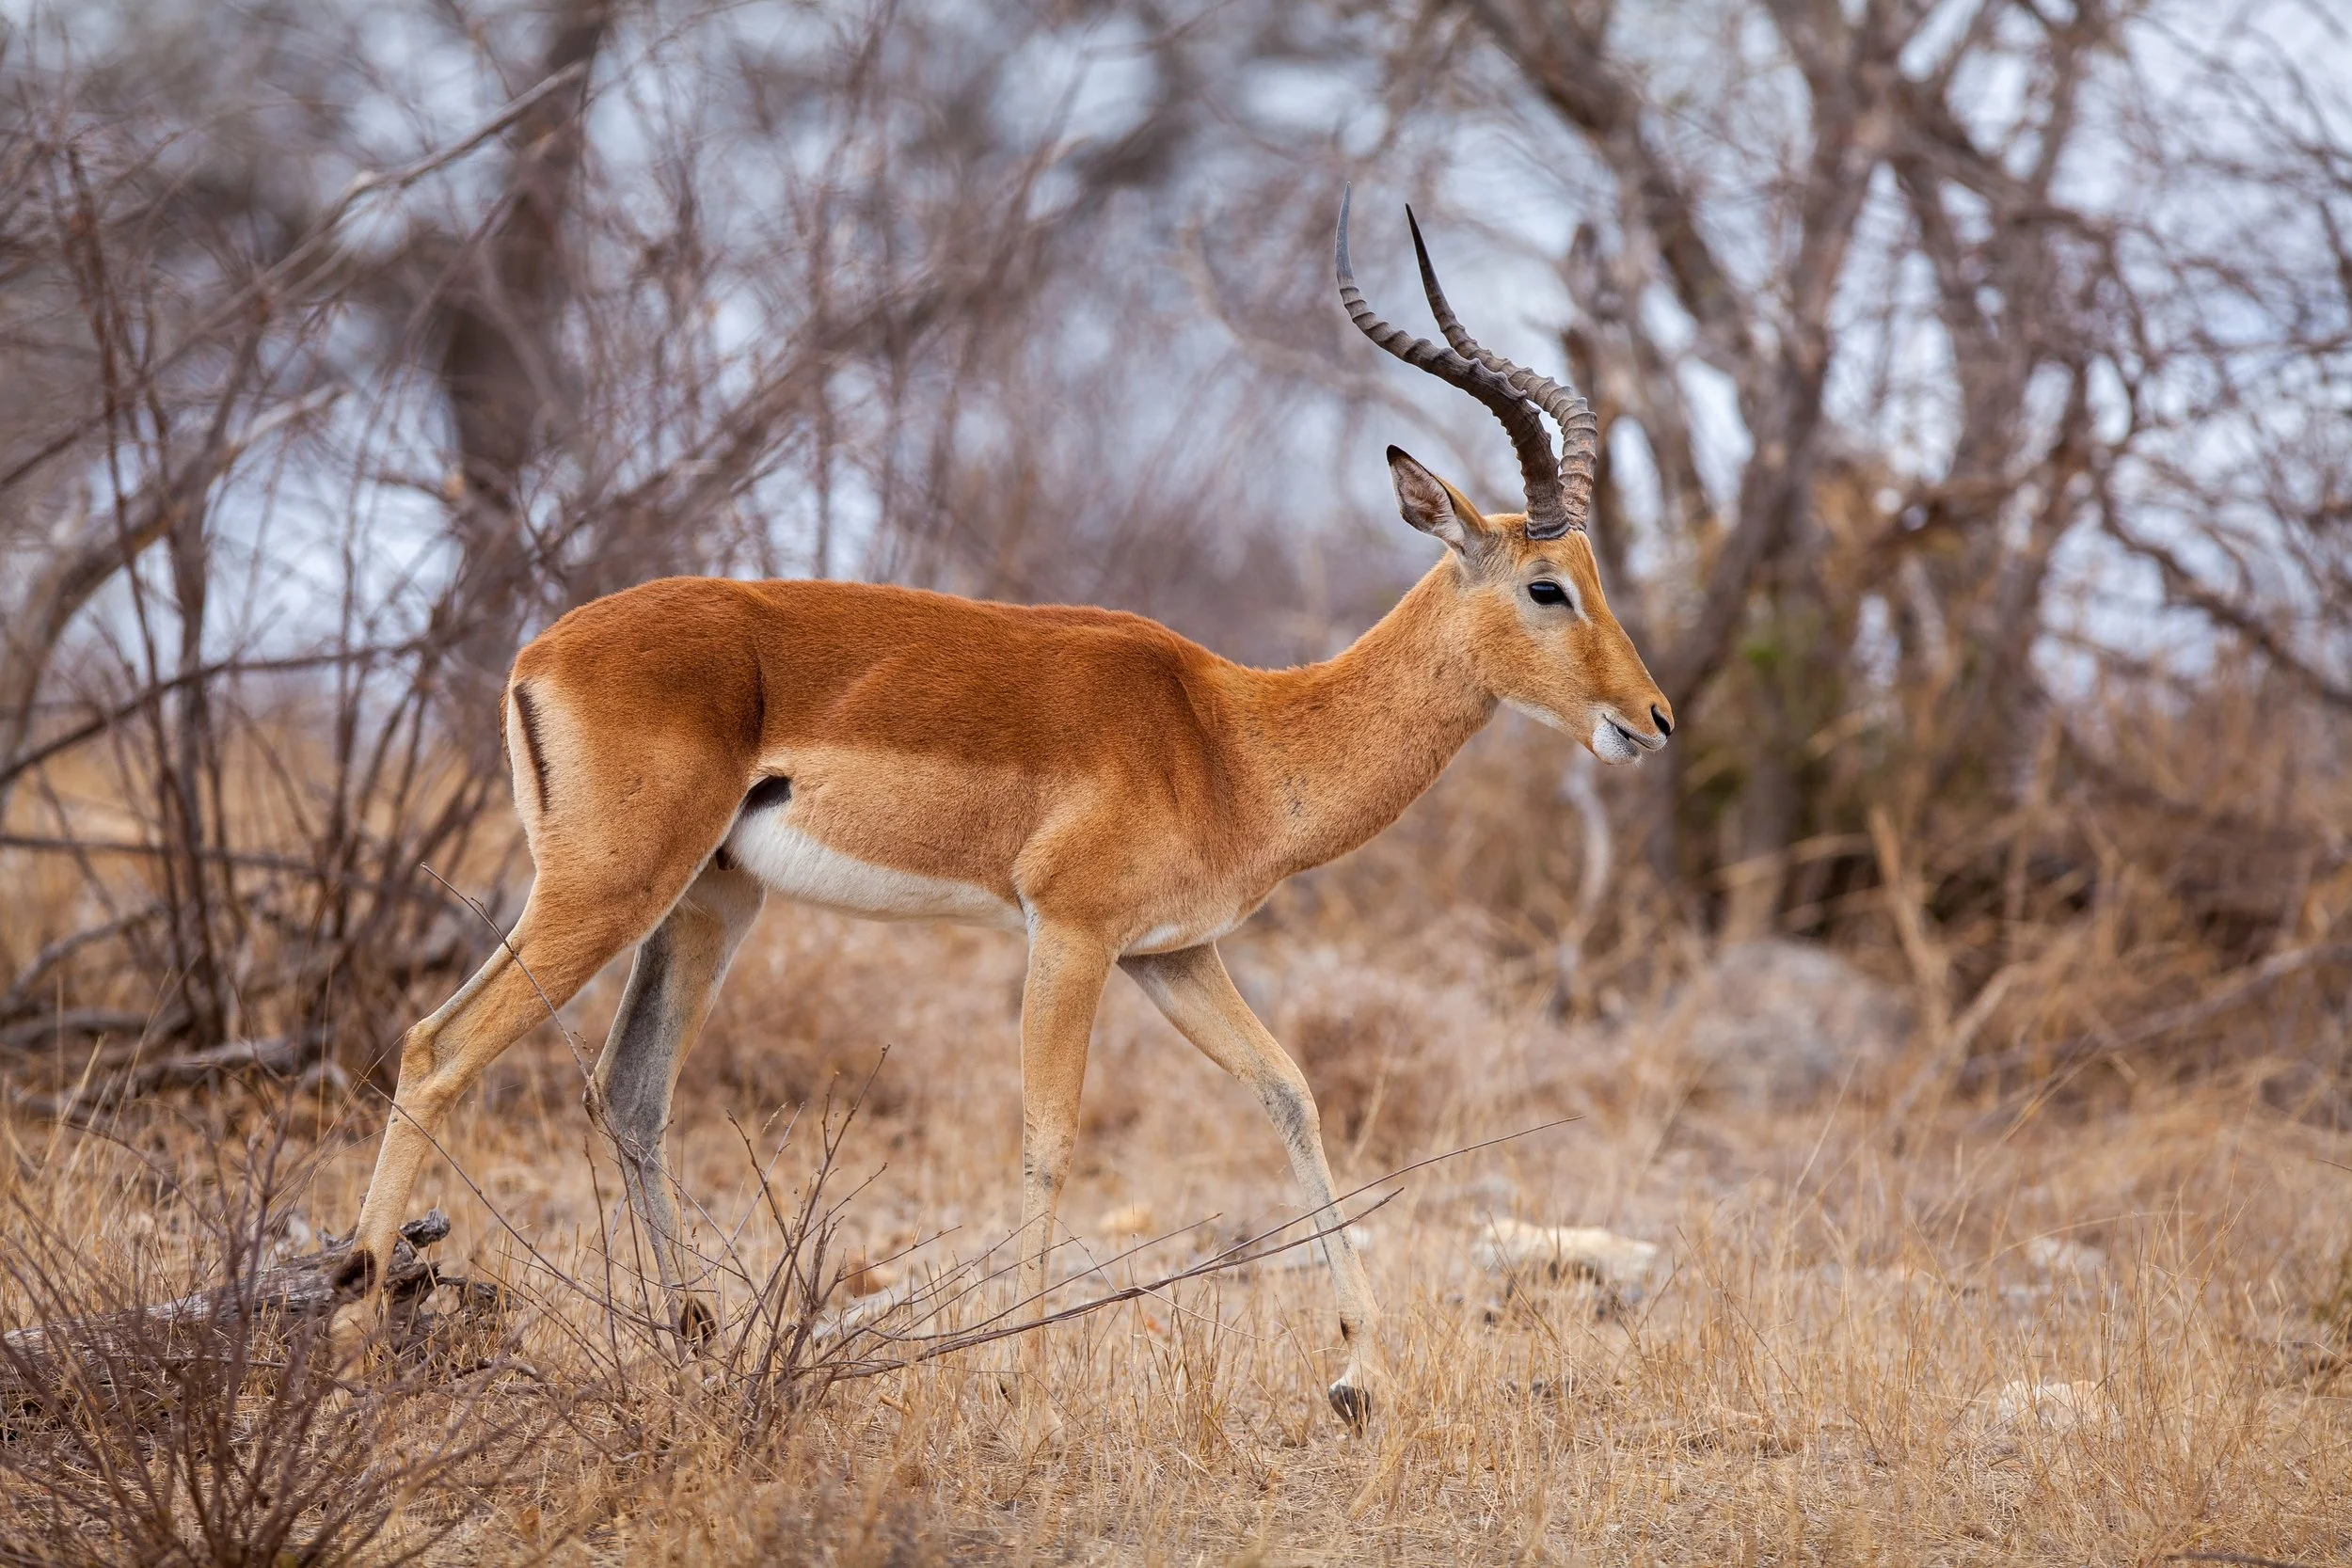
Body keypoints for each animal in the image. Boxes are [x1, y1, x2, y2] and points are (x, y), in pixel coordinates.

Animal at [342, 193, 1673, 1435]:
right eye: (1546, 585)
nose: (1652, 719)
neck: (1233, 736)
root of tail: (539, 649)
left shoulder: (1171, 953)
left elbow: (1288, 1090)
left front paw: (1358, 1377)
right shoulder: (1070, 934)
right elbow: (1050, 1136)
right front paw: (1024, 1389)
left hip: (709, 897)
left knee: (628, 1091)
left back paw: (689, 1346)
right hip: (607, 888)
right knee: (438, 1048)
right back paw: (357, 1334)